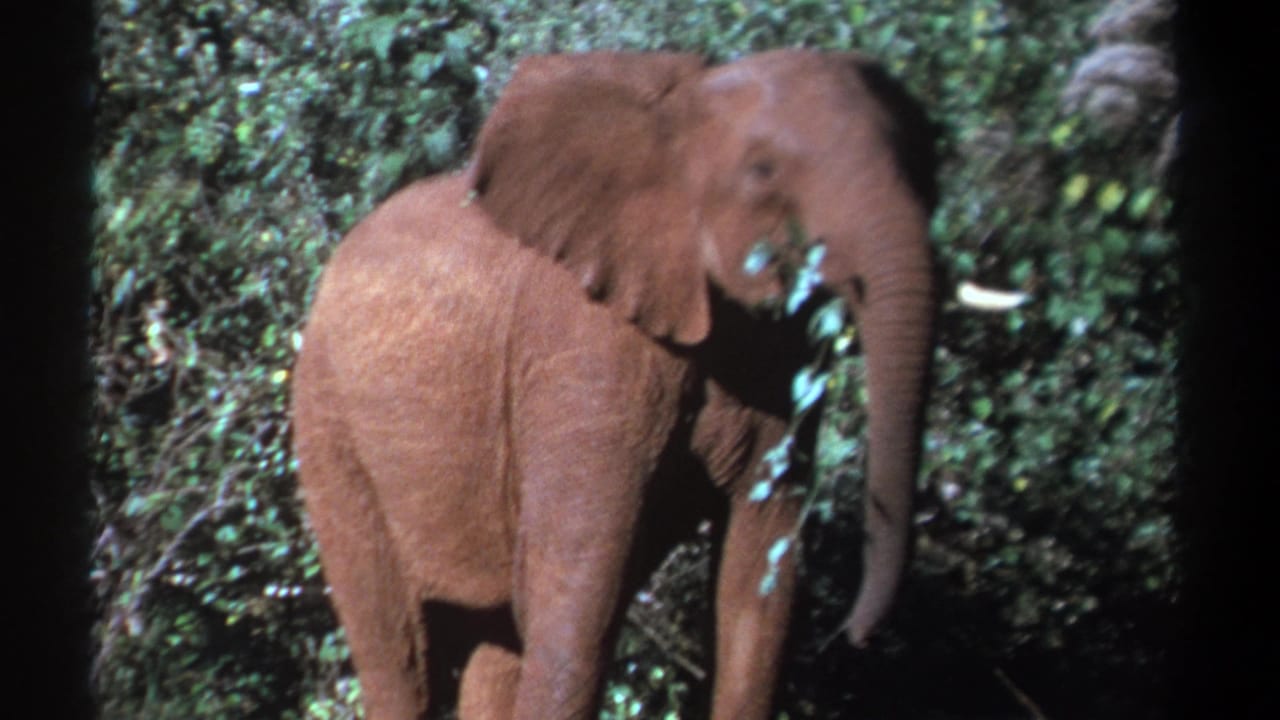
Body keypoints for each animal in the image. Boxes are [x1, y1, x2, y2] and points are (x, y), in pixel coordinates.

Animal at [291, 49, 938, 720]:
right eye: (763, 171)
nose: (858, 636)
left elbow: (759, 580)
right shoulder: (586, 345)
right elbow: (578, 597)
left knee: (495, 642)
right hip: (328, 423)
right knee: (399, 653)